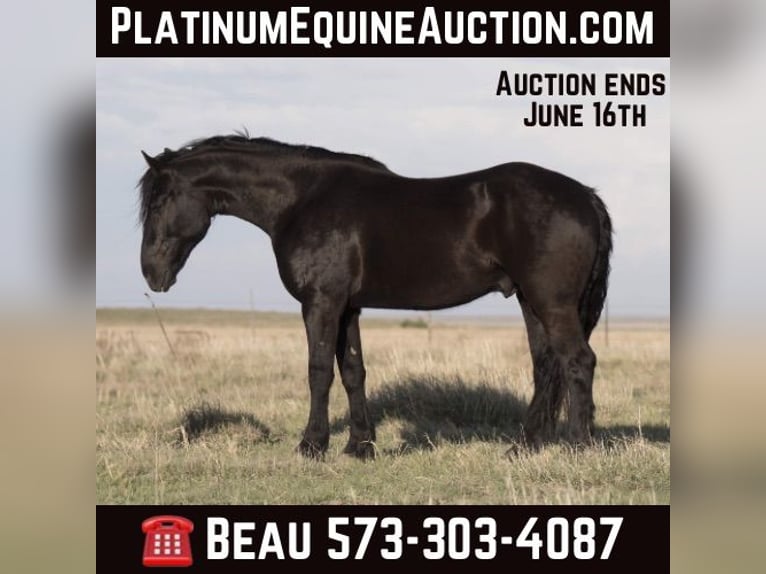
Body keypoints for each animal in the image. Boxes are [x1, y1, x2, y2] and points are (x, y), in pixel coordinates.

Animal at [138, 134, 612, 459]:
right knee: (546, 366)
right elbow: (353, 371)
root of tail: (585, 196)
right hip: (531, 302)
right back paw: (525, 445)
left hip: (551, 303)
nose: (151, 273)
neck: (302, 200)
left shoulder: (321, 303)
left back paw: (578, 445)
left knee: (578, 361)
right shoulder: (348, 307)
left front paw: (312, 445)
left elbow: (318, 371)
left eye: (159, 201)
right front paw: (359, 446)